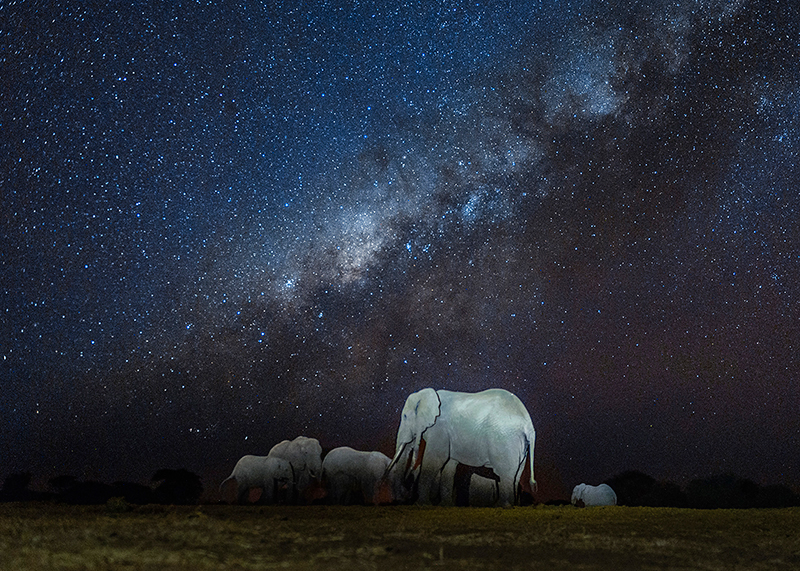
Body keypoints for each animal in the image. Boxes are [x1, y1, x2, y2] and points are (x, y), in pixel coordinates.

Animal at [388, 386, 536, 508]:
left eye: (405, 416)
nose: (401, 500)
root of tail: (528, 424)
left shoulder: (440, 429)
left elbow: (435, 460)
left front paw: (421, 505)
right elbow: (449, 465)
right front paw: (445, 506)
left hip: (505, 440)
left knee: (505, 474)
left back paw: (503, 506)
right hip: (520, 444)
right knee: (516, 475)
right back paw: (507, 505)